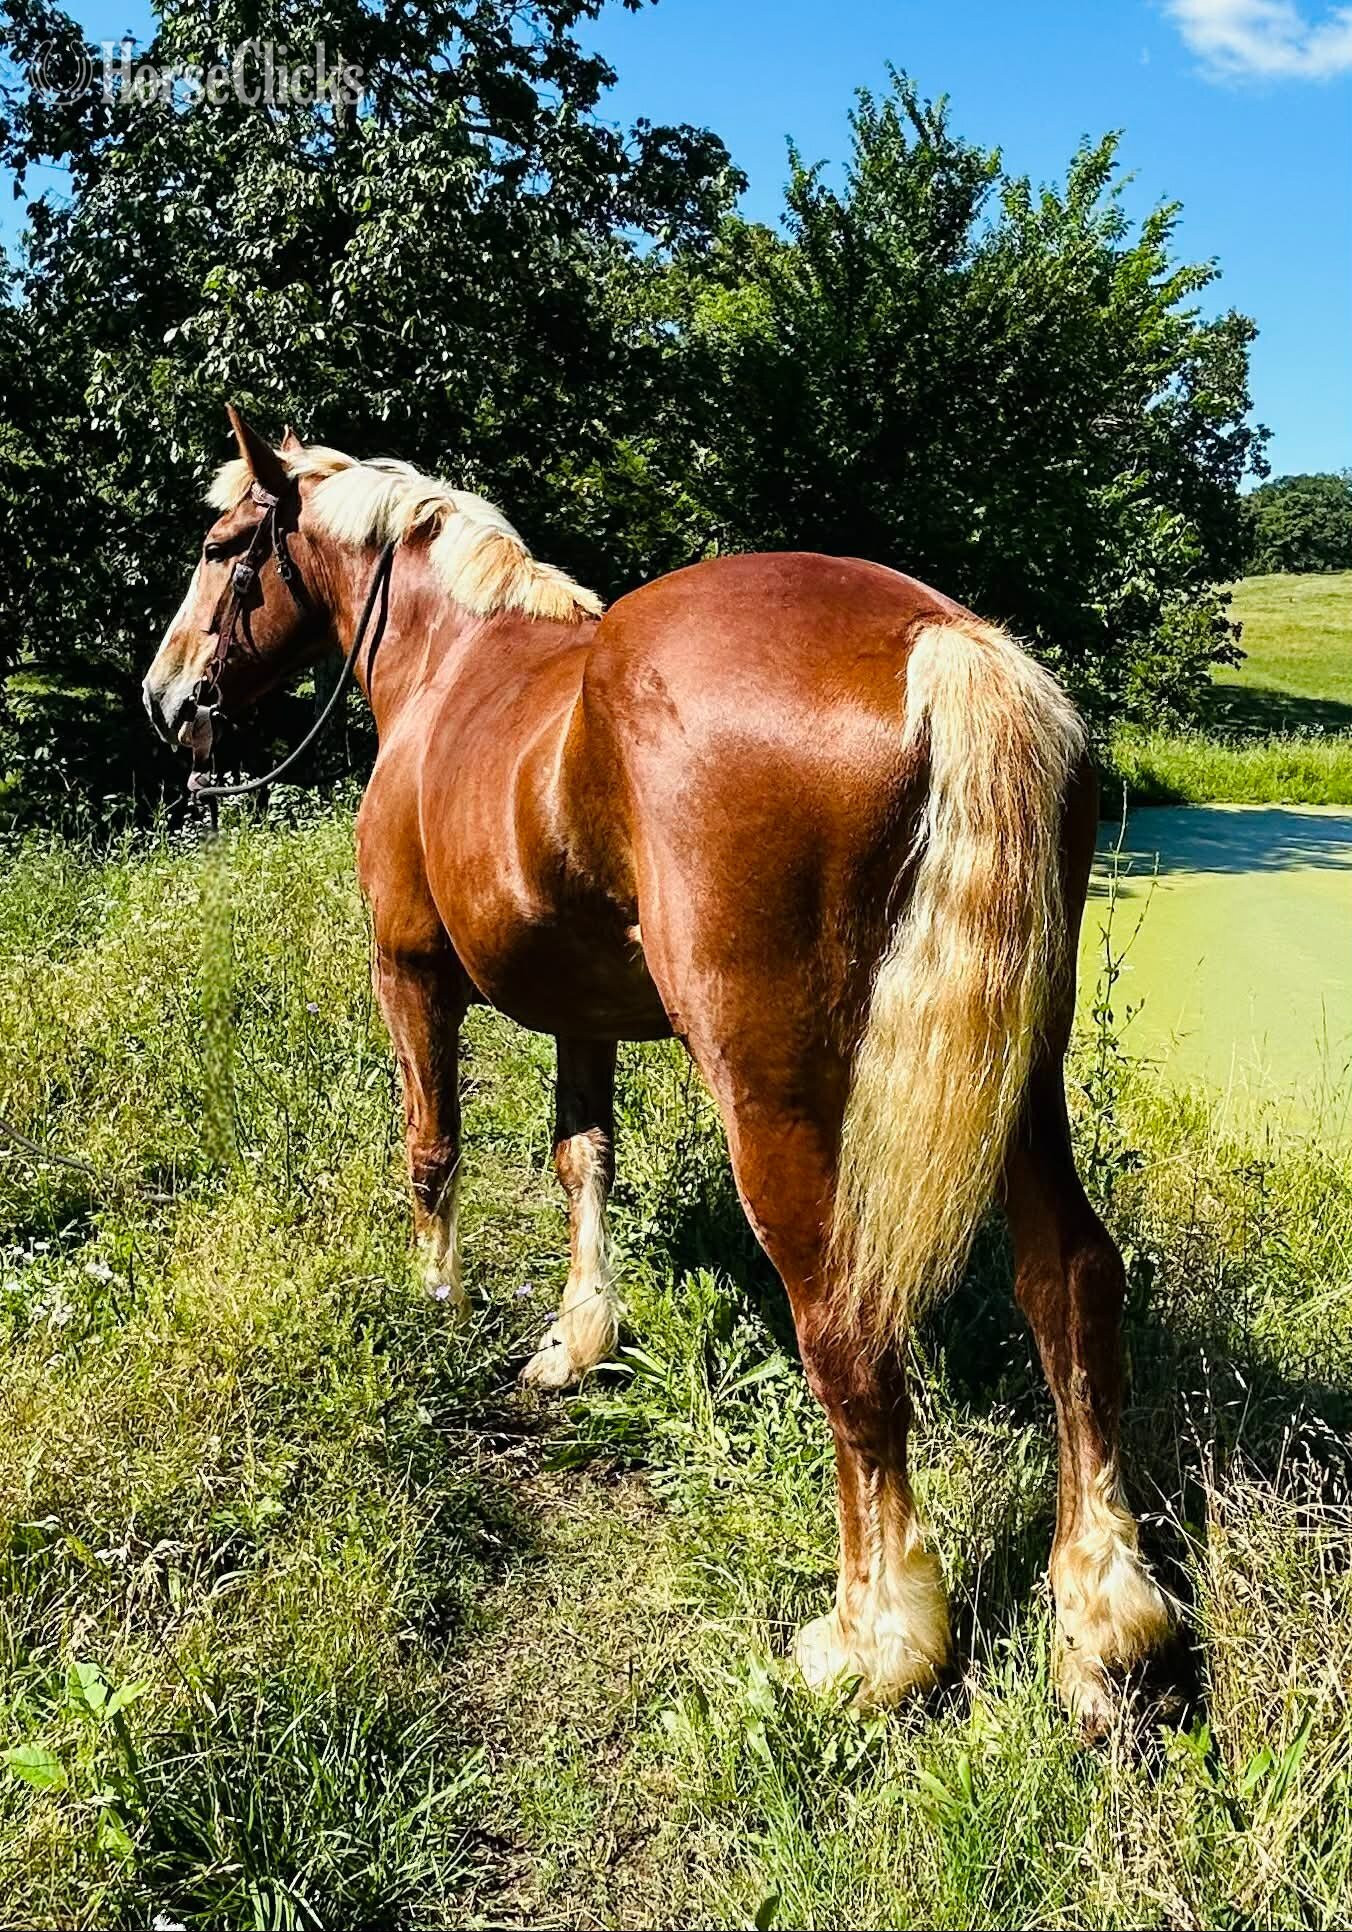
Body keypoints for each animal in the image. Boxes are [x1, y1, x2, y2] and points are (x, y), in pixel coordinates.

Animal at [143, 406, 1173, 1726]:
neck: (451, 664)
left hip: (772, 1095)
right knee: (1070, 1283)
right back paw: (1102, 1620)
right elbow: (580, 1158)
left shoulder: (407, 971)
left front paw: (438, 1301)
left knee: (845, 1328)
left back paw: (875, 1641)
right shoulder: (579, 1012)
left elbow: (433, 1149)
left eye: (223, 547)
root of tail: (936, 642)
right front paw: (576, 1339)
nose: (166, 694)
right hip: (1018, 1079)